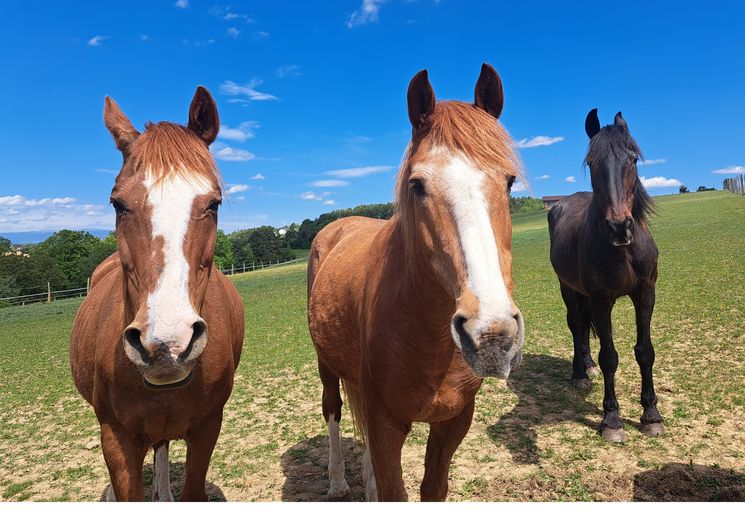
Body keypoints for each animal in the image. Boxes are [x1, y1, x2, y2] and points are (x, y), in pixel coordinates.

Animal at [307, 64, 524, 501]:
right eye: (417, 184)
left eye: (509, 181)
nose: (492, 335)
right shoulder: (386, 422)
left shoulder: (454, 421)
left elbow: (432, 487)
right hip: (327, 366)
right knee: (332, 410)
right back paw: (338, 481)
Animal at [547, 109, 664, 443]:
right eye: (592, 163)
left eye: (633, 159)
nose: (619, 228)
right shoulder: (602, 300)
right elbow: (609, 356)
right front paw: (612, 419)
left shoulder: (645, 293)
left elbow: (645, 351)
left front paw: (651, 414)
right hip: (568, 287)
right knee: (576, 324)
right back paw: (578, 373)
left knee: (584, 326)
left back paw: (587, 367)